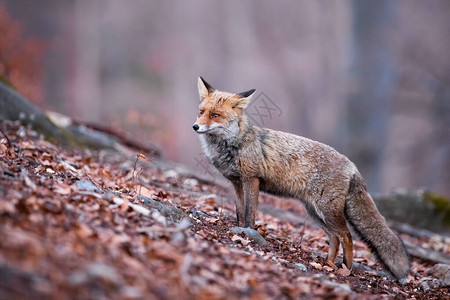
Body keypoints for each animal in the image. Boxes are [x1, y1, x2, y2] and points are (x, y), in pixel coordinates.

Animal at [192, 78, 410, 280]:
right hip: (315, 212)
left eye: (215, 115)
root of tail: (353, 166)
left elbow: (249, 213)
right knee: (334, 238)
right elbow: (239, 212)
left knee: (347, 236)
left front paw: (249, 233)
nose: (195, 126)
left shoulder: (251, 180)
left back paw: (346, 268)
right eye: (201, 112)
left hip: (328, 211)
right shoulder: (236, 183)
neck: (234, 144)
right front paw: (239, 230)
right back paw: (328, 263)